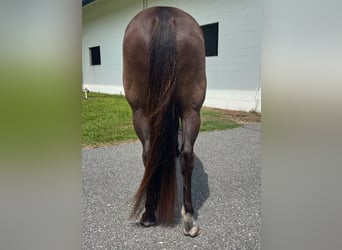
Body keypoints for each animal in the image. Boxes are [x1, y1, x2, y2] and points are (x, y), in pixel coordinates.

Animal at [123, 5, 206, 236]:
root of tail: (164, 14)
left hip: (140, 111)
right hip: (191, 110)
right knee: (186, 155)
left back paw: (150, 213)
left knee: (149, 153)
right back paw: (187, 217)